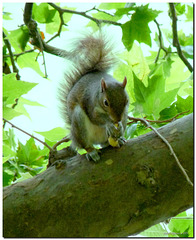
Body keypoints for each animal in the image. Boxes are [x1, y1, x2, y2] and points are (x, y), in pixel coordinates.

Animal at [57, 32, 129, 161]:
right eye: (106, 102)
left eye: (126, 101)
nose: (117, 120)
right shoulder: (90, 104)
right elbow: (95, 117)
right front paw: (109, 124)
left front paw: (119, 126)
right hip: (79, 123)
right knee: (84, 144)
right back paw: (91, 152)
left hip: (124, 117)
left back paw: (117, 139)